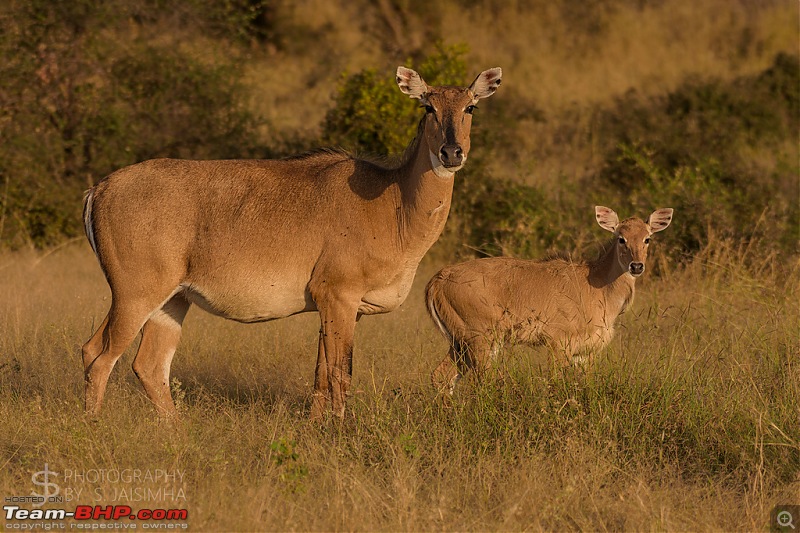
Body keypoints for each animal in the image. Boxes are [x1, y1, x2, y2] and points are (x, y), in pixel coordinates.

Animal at [83, 65, 506, 416]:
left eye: (470, 107)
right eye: (427, 107)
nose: (451, 152)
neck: (393, 202)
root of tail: (99, 189)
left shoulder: (339, 307)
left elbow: (320, 378)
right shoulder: (338, 296)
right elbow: (339, 375)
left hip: (172, 300)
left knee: (148, 365)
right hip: (135, 294)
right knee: (99, 356)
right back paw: (93, 425)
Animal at [428, 206, 672, 392]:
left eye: (647, 239)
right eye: (621, 239)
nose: (636, 266)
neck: (598, 286)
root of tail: (436, 282)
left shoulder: (587, 352)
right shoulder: (558, 342)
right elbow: (555, 383)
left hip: (460, 342)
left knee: (441, 375)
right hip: (480, 338)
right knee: (481, 380)